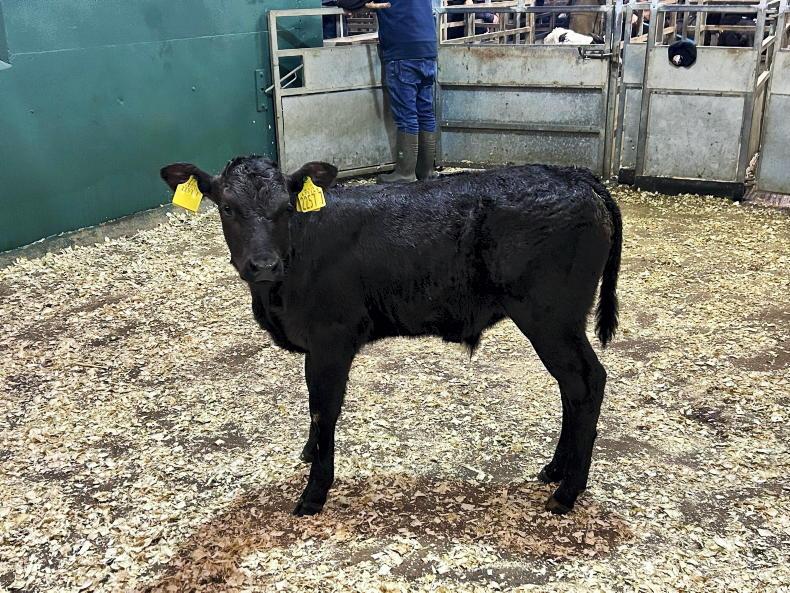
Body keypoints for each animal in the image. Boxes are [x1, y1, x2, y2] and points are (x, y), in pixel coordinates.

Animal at [160, 158, 623, 516]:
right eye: (227, 207)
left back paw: (566, 492)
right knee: (571, 387)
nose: (263, 264)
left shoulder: (330, 341)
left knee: (586, 382)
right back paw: (555, 471)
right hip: (557, 322)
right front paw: (309, 454)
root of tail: (575, 176)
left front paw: (314, 493)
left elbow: (323, 411)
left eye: (285, 208)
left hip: (551, 317)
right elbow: (314, 411)